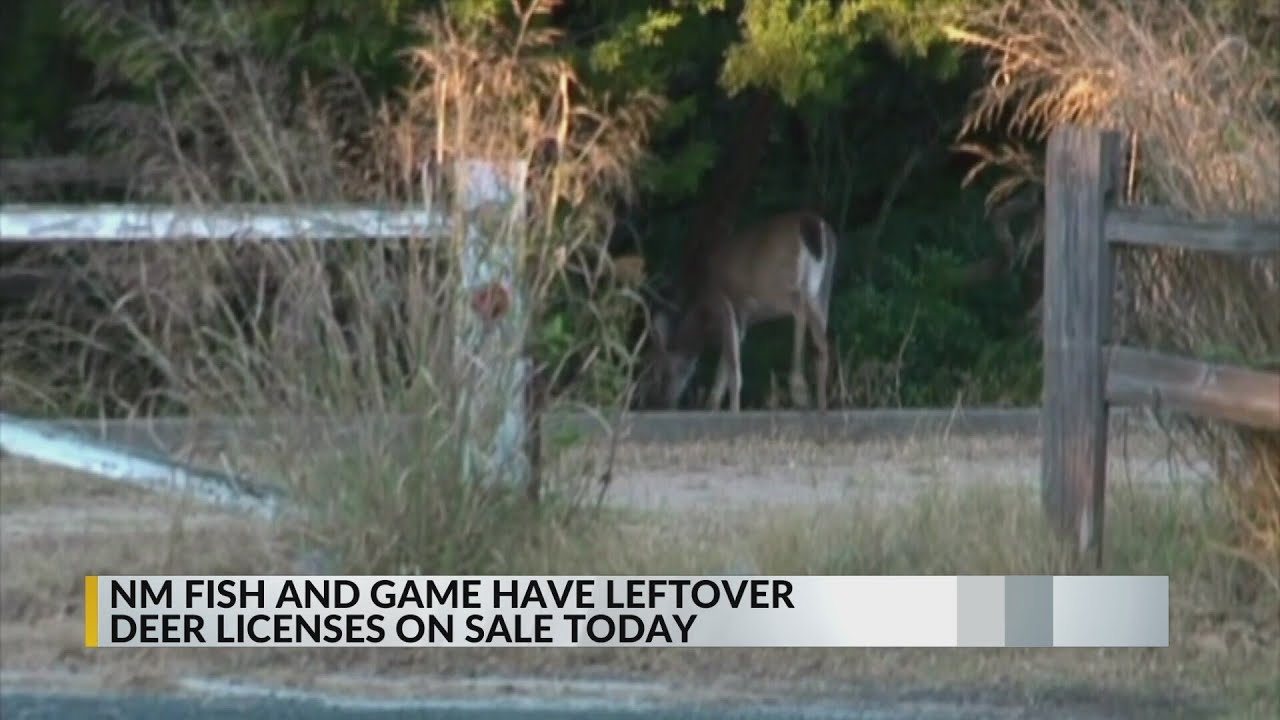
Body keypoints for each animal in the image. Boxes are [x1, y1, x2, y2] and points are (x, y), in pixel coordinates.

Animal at [640, 210, 838, 413]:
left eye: (657, 372)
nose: (658, 403)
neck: (702, 308)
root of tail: (813, 224)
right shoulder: (743, 319)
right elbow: (724, 367)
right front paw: (712, 406)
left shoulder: (724, 303)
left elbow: (733, 369)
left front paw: (732, 409)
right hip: (823, 287)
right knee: (821, 333)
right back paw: (822, 405)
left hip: (781, 284)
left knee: (800, 310)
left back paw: (800, 390)